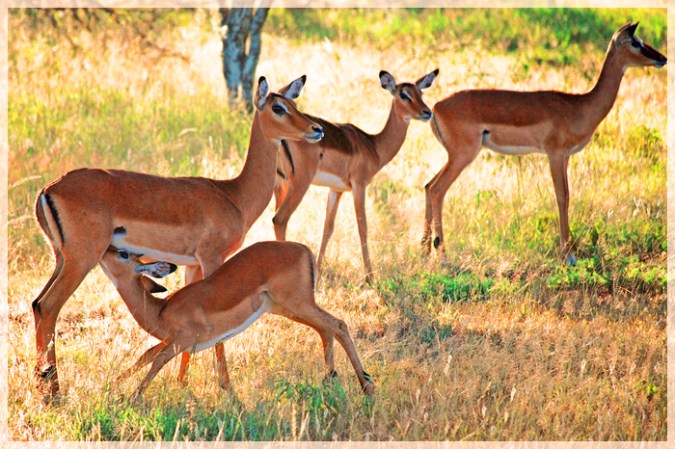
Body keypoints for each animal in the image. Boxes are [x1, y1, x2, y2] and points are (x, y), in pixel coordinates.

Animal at [32, 75, 324, 399]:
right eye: (278, 107)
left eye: (294, 103)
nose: (316, 129)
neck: (233, 196)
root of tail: (48, 189)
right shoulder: (212, 258)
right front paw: (225, 387)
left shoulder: (191, 264)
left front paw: (181, 383)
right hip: (82, 260)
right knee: (49, 306)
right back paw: (54, 393)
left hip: (62, 259)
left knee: (36, 304)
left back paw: (42, 385)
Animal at [98, 242, 375, 400]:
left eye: (123, 253)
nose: (104, 250)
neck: (161, 310)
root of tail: (305, 251)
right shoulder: (172, 341)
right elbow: (145, 355)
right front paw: (111, 387)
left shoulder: (182, 340)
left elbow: (158, 360)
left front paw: (132, 398)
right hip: (286, 308)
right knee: (325, 329)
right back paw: (331, 380)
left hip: (297, 304)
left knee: (338, 324)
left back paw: (367, 387)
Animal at [273, 70, 438, 283]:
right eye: (404, 94)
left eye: (421, 93)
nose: (427, 112)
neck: (373, 145)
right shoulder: (359, 185)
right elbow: (363, 226)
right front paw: (370, 276)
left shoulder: (336, 190)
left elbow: (328, 228)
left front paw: (318, 270)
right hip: (299, 184)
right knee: (279, 219)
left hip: (280, 184)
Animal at [423, 22, 666, 264]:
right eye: (635, 42)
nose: (662, 58)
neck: (580, 106)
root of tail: (435, 108)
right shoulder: (554, 154)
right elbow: (562, 196)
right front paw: (568, 255)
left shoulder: (565, 156)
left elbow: (567, 195)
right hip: (463, 155)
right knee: (437, 189)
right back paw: (442, 255)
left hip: (455, 157)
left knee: (427, 185)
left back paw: (424, 251)